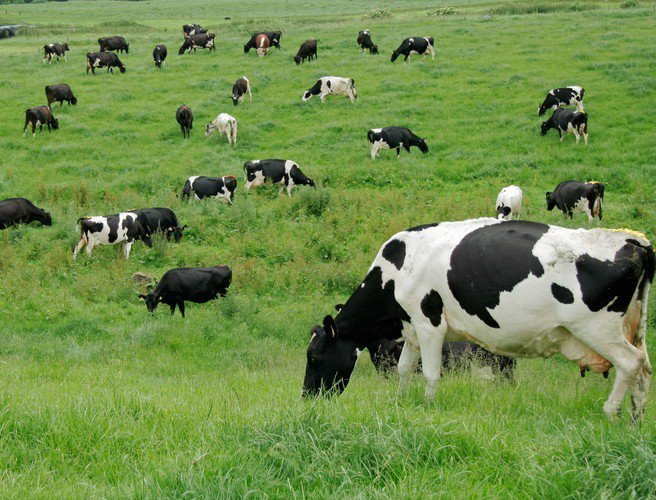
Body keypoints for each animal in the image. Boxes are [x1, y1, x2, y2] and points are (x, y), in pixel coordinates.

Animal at [303, 218, 655, 422]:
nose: (307, 397)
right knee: (644, 369)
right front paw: (400, 402)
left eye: (315, 356)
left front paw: (428, 407)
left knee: (630, 363)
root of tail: (632, 240)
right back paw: (635, 419)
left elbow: (429, 373)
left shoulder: (429, 323)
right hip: (634, 328)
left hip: (597, 328)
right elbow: (404, 368)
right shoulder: (411, 327)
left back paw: (611, 412)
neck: (397, 269)